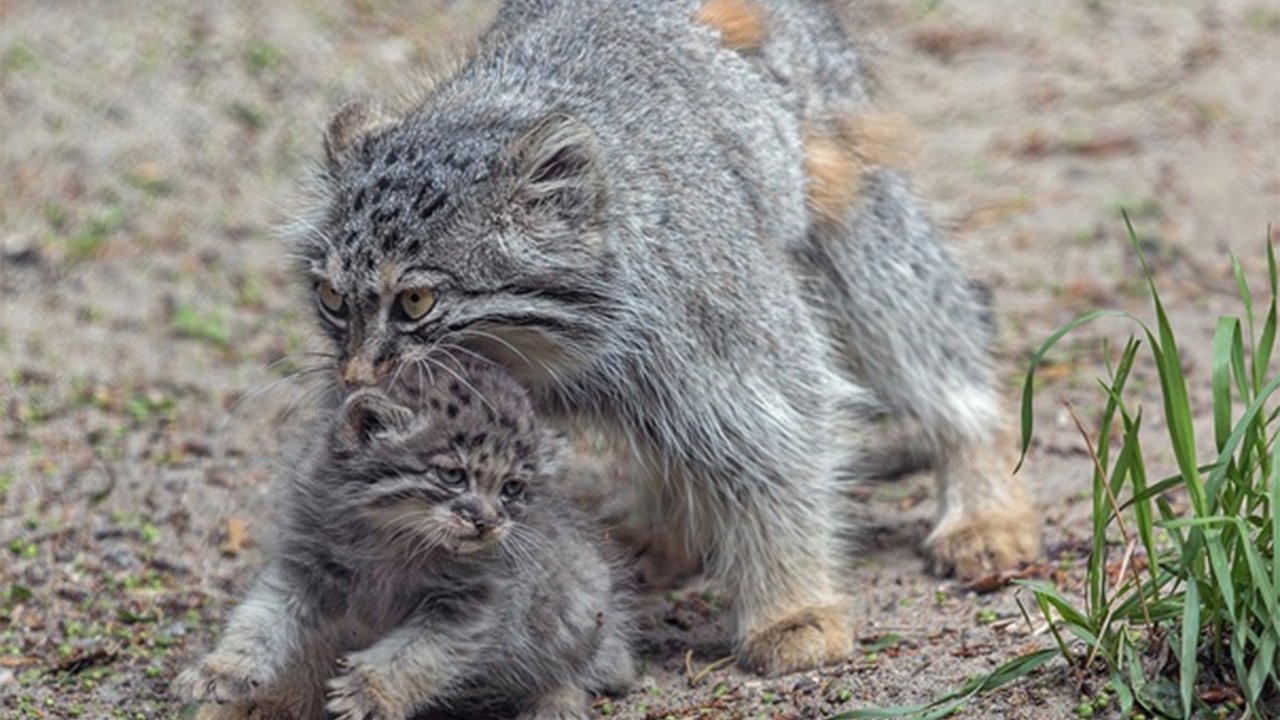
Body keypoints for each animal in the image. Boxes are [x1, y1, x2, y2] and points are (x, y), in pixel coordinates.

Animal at [175, 358, 634, 717]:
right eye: (452, 475)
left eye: (512, 488)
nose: (487, 522)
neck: (392, 542)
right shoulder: (303, 566)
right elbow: (260, 617)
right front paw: (223, 668)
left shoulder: (471, 606)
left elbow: (416, 656)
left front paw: (369, 692)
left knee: (578, 676)